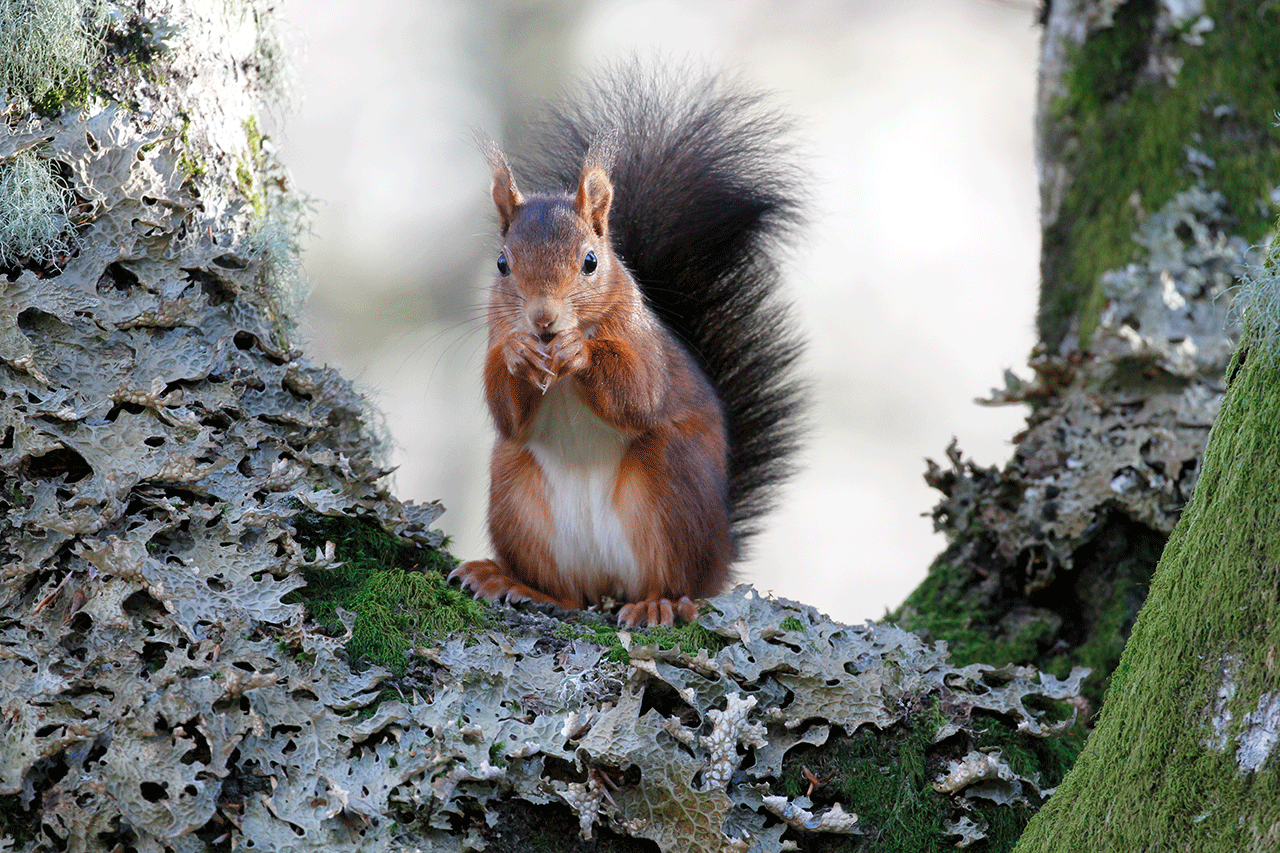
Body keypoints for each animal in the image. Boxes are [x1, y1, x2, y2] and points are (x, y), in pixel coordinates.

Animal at [453, 71, 798, 625]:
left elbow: (637, 395)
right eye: (503, 264)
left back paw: (661, 603)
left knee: (676, 582)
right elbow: (507, 415)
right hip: (516, 494)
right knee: (569, 595)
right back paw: (515, 583)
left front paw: (581, 352)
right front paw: (519, 357)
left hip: (670, 486)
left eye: (591, 261)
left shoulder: (641, 343)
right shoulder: (496, 332)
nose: (543, 321)